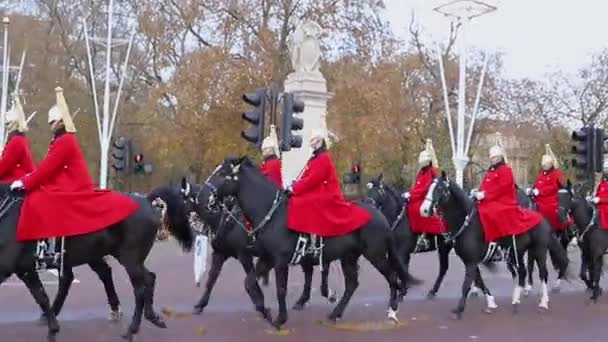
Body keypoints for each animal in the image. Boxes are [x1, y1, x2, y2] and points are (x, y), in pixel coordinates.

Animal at [0, 184, 192, 342]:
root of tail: (145, 200)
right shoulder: (23, 269)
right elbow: (41, 295)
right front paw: (52, 326)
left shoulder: (15, 268)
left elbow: (41, 296)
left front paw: (52, 329)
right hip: (116, 256)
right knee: (147, 278)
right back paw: (151, 317)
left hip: (128, 258)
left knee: (138, 288)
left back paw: (131, 329)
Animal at [202, 158, 416, 328]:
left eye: (222, 173)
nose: (203, 195)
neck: (272, 214)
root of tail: (380, 215)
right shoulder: (266, 259)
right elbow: (249, 283)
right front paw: (266, 311)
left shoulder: (279, 261)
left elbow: (280, 289)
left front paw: (280, 318)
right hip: (349, 257)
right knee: (352, 284)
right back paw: (335, 314)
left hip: (375, 255)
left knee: (392, 278)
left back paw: (392, 310)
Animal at [418, 172, 568, 320]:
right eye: (428, 188)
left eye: (439, 188)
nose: (423, 210)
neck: (467, 223)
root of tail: (542, 218)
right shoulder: (470, 260)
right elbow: (478, 280)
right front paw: (490, 302)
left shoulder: (471, 262)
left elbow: (466, 284)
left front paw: (459, 309)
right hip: (518, 252)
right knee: (522, 272)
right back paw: (515, 300)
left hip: (539, 250)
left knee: (543, 273)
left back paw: (543, 302)